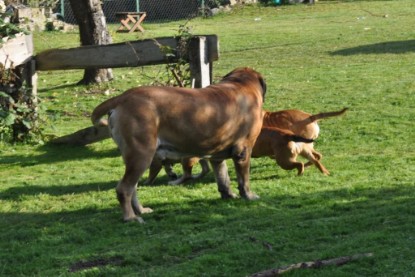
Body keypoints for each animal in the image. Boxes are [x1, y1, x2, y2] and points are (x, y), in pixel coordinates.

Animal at [91, 67, 266, 222]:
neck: (239, 83)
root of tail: (123, 97)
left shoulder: (217, 155)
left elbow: (223, 178)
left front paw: (228, 195)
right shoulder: (243, 151)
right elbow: (244, 180)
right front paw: (249, 196)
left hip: (135, 159)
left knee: (132, 187)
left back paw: (140, 210)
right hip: (141, 155)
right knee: (124, 188)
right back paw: (131, 217)